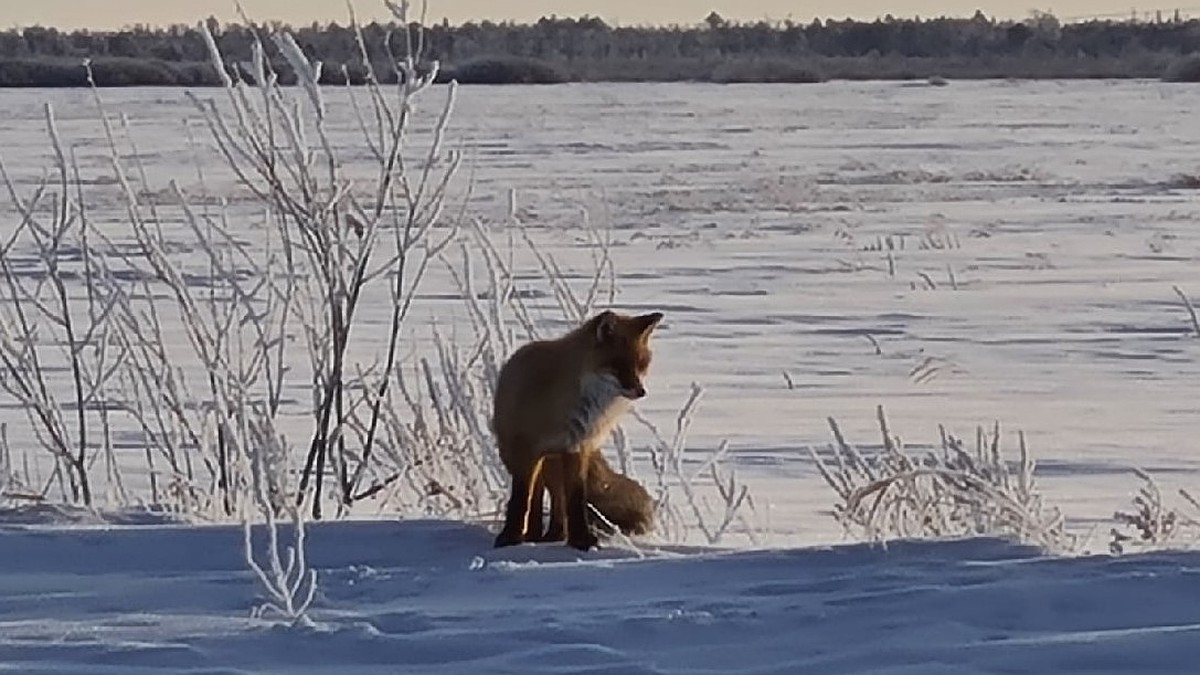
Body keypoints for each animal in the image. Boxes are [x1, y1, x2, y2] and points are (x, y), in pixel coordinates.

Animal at [494, 307, 667, 550]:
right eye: (617, 365)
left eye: (641, 364)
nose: (641, 391)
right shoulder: (525, 448)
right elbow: (520, 500)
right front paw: (509, 539)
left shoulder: (576, 448)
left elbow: (575, 500)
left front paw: (581, 540)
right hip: (520, 456)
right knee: (535, 496)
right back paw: (534, 535)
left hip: (554, 464)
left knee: (557, 501)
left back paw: (554, 535)